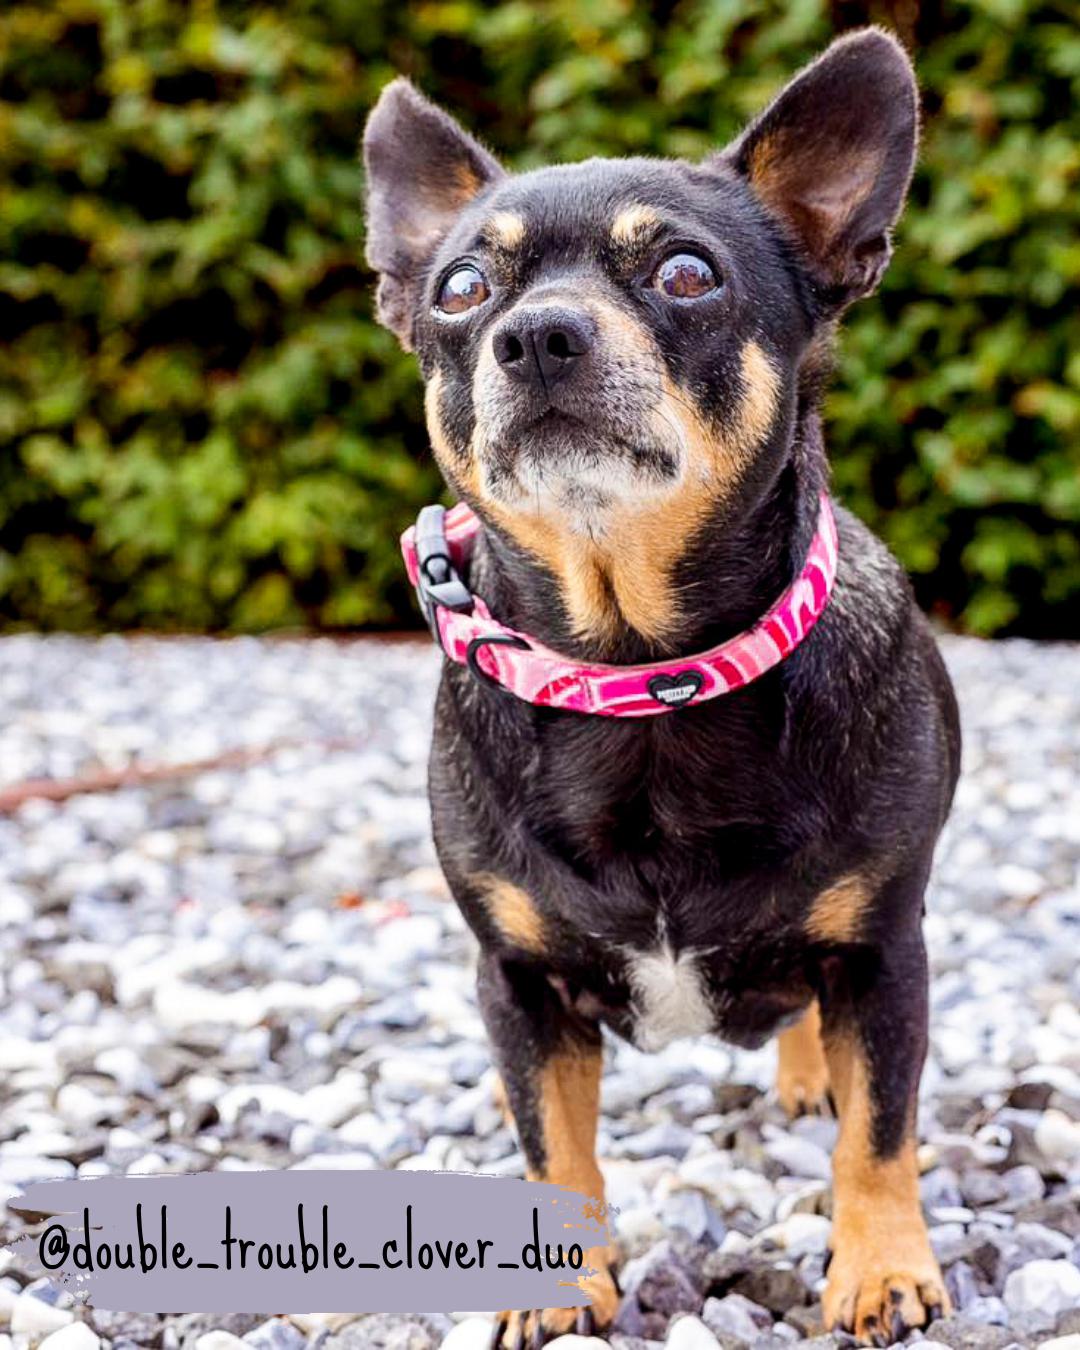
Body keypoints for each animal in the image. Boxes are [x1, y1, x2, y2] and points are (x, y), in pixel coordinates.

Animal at [364, 29, 961, 1339]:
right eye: (461, 292)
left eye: (687, 274)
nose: (535, 333)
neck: (641, 676)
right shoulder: (518, 986)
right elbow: (554, 1145)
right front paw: (559, 1286)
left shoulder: (883, 956)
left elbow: (882, 1131)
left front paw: (883, 1267)